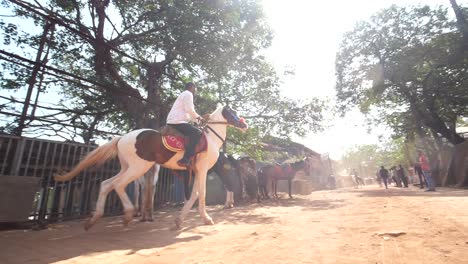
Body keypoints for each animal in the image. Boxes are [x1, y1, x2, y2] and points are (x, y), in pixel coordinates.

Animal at [54, 105, 249, 229]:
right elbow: (201, 193)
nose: (244, 124)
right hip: (138, 167)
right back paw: (128, 213)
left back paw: (93, 220)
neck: (210, 139)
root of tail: (122, 138)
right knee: (118, 184)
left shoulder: (196, 171)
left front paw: (179, 220)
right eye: (232, 112)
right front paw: (206, 219)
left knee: (106, 184)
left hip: (127, 167)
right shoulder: (202, 169)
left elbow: (193, 194)